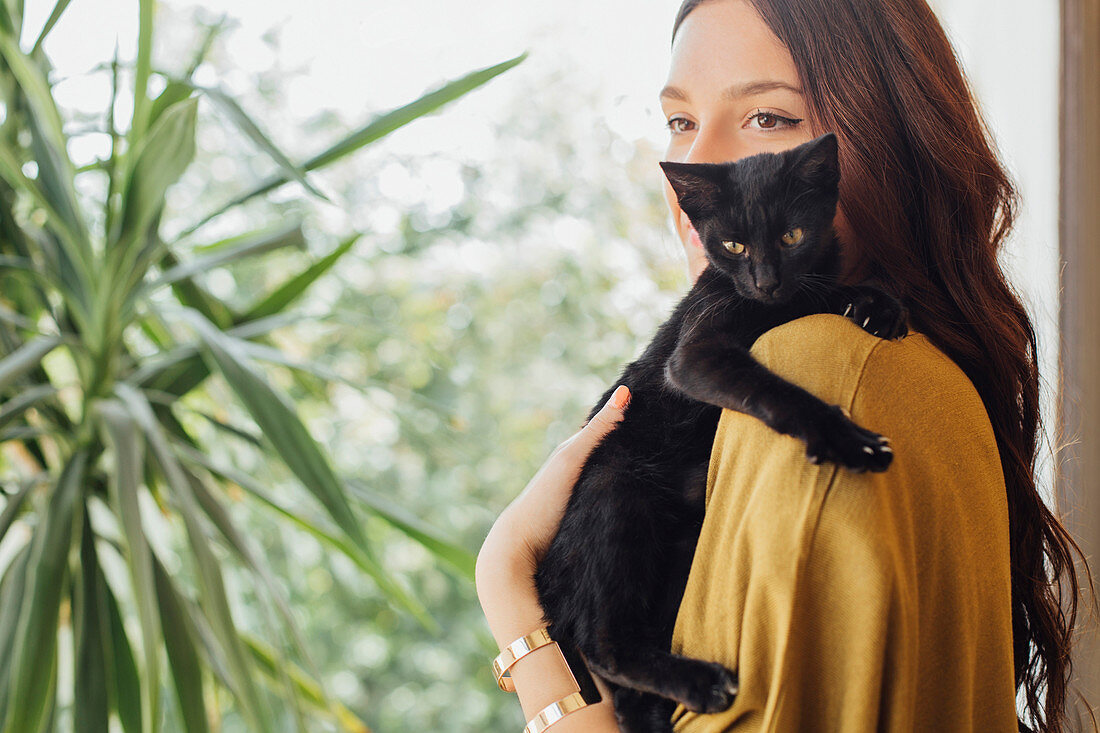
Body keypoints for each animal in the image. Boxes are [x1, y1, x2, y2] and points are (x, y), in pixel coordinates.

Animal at [534, 132, 910, 730]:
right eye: (733, 245)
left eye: (791, 235)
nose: (765, 281)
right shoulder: (697, 355)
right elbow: (776, 390)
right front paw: (847, 439)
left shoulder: (801, 289)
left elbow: (823, 290)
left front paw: (878, 303)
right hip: (616, 488)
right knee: (604, 644)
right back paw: (700, 682)